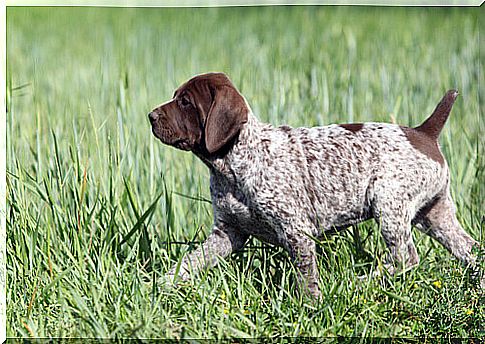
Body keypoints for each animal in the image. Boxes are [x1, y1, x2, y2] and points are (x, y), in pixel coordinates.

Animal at [149, 71, 482, 296]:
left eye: (185, 102)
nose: (150, 115)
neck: (232, 163)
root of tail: (423, 132)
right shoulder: (226, 234)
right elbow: (189, 263)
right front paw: (160, 284)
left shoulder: (296, 231)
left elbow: (306, 278)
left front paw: (311, 305)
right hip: (435, 215)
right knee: (472, 249)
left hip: (388, 203)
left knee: (405, 258)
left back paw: (360, 281)